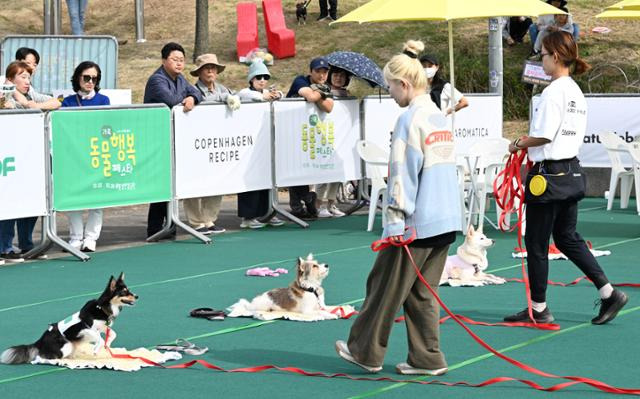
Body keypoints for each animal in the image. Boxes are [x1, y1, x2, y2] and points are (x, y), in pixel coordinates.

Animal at [1, 274, 138, 364]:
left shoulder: (103, 326)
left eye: (129, 290)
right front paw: (96, 349)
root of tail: (40, 341)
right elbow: (99, 337)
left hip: (71, 346)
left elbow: (113, 333)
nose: (137, 296)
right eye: (124, 292)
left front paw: (107, 344)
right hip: (65, 346)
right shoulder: (85, 329)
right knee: (40, 358)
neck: (102, 308)